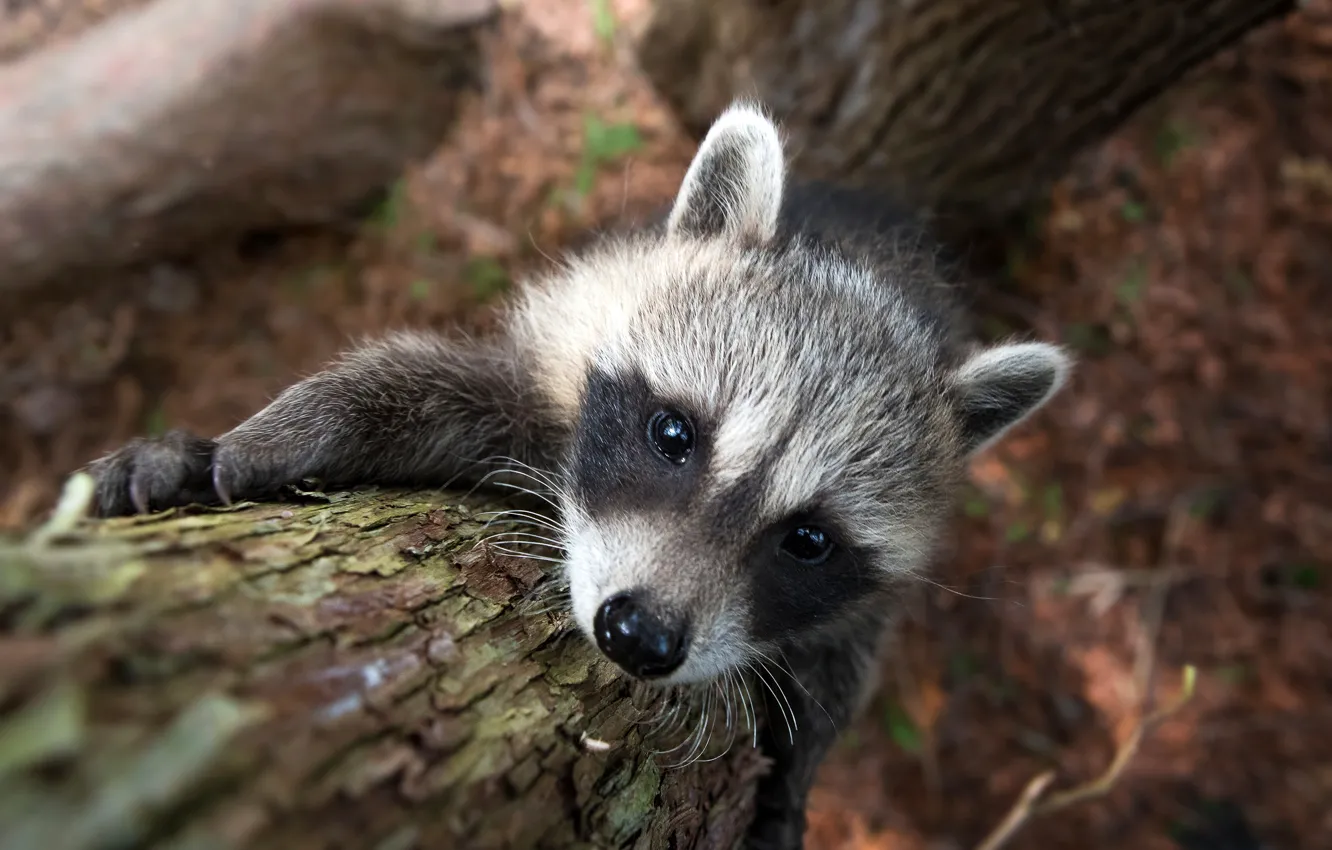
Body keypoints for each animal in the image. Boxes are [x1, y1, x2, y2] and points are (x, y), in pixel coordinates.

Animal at [85, 102, 1071, 848]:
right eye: (672, 433)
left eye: (809, 539)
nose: (638, 635)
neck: (861, 264)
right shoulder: (566, 349)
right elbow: (430, 385)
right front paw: (263, 434)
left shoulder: (865, 594)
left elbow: (845, 662)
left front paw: (798, 771)